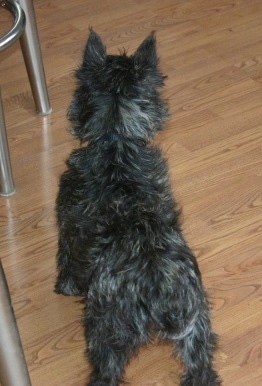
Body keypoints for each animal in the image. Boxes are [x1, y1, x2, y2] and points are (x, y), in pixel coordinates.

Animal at [55, 30, 221, 386]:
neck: (117, 139)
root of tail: (156, 285)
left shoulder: (67, 226)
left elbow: (66, 261)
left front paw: (64, 287)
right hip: (196, 329)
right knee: (202, 370)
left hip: (104, 329)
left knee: (106, 371)